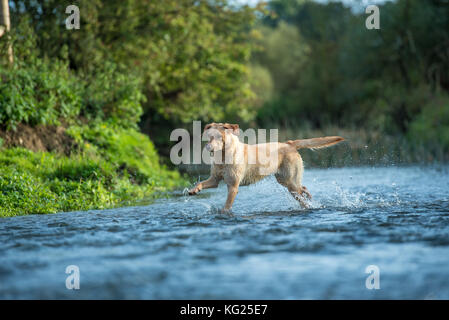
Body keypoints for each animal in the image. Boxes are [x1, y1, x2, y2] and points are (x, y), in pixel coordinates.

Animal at [186, 123, 344, 212]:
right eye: (209, 136)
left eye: (218, 137)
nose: (208, 147)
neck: (224, 156)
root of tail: (290, 143)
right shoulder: (214, 179)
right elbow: (201, 183)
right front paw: (193, 190)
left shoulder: (233, 186)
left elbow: (227, 206)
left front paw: (223, 212)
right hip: (284, 180)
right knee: (303, 189)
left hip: (290, 182)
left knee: (301, 191)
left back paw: (309, 202)